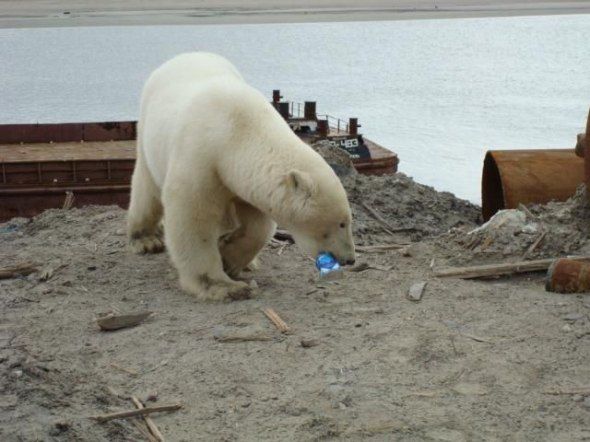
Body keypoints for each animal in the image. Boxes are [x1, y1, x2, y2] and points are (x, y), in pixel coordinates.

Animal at [128, 51, 356, 300]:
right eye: (342, 223)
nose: (350, 259)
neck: (236, 132)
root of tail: (181, 56)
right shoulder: (200, 159)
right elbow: (192, 218)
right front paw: (224, 285)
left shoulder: (244, 174)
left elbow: (257, 223)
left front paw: (229, 258)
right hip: (148, 131)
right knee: (147, 188)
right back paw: (146, 239)